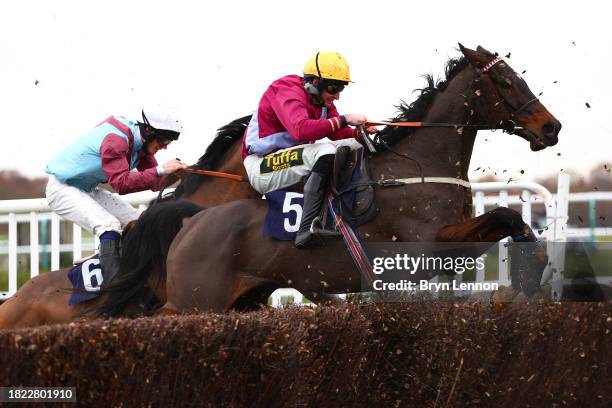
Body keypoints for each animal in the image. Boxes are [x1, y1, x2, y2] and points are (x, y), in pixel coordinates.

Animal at [160, 44, 560, 312]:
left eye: (518, 77)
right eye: (505, 82)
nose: (551, 127)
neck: (419, 166)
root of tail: (191, 223)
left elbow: (513, 223)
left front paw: (527, 276)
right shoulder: (429, 246)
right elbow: (505, 215)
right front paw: (520, 283)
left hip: (243, 300)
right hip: (196, 302)